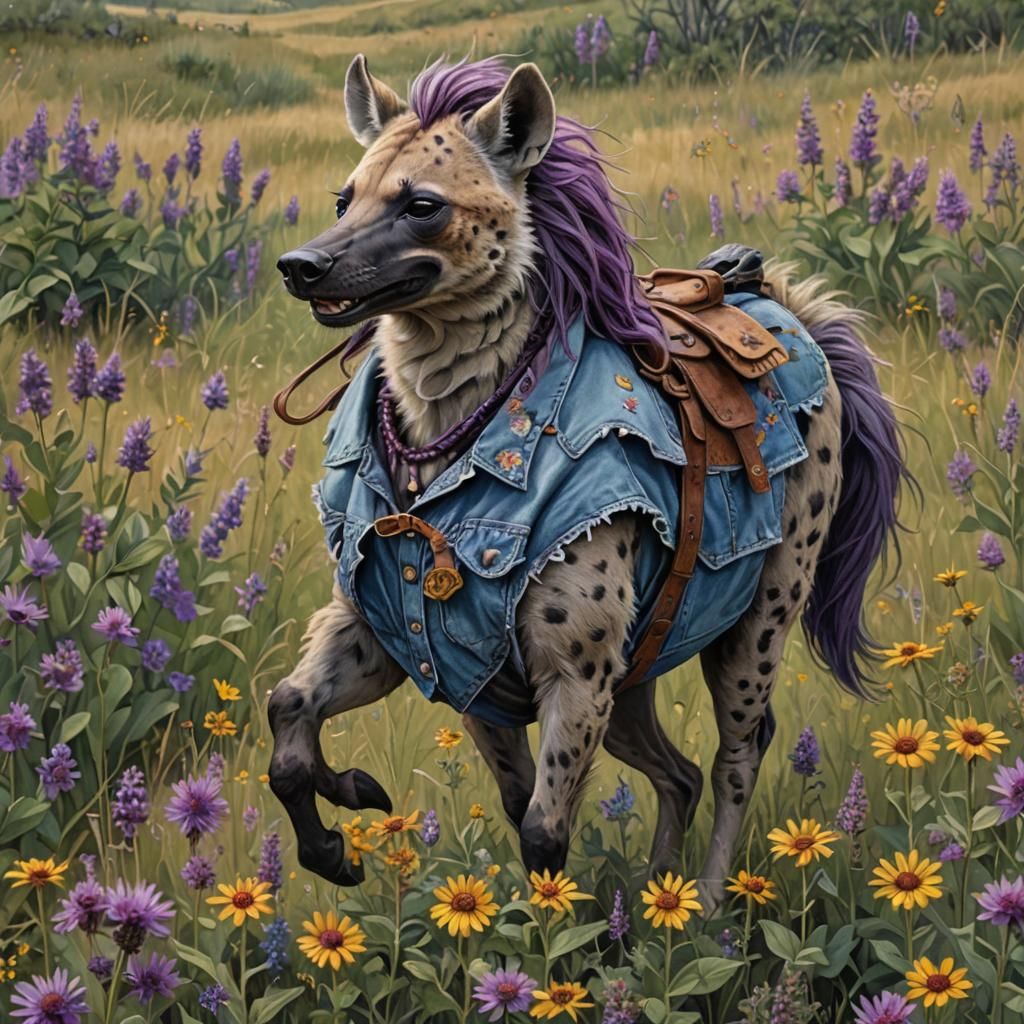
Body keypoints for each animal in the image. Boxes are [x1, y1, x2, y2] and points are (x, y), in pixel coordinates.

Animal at [268, 55, 908, 904]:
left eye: (422, 205)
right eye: (345, 197)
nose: (301, 266)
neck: (447, 452)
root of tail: (785, 307)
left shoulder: (574, 673)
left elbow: (543, 835)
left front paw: (555, 940)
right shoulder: (410, 646)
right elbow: (289, 716)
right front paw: (342, 826)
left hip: (754, 627)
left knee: (736, 755)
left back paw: (706, 902)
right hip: (641, 667)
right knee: (678, 773)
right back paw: (657, 895)